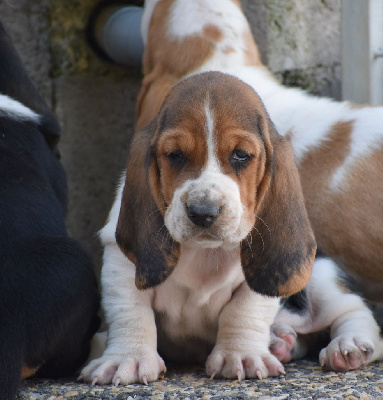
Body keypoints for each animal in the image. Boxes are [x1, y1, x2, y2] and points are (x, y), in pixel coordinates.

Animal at [82, 71, 318, 384]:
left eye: (241, 155)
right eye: (175, 155)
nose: (203, 213)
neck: (204, 251)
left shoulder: (255, 278)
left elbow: (245, 309)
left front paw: (240, 355)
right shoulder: (121, 264)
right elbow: (130, 310)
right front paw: (127, 358)